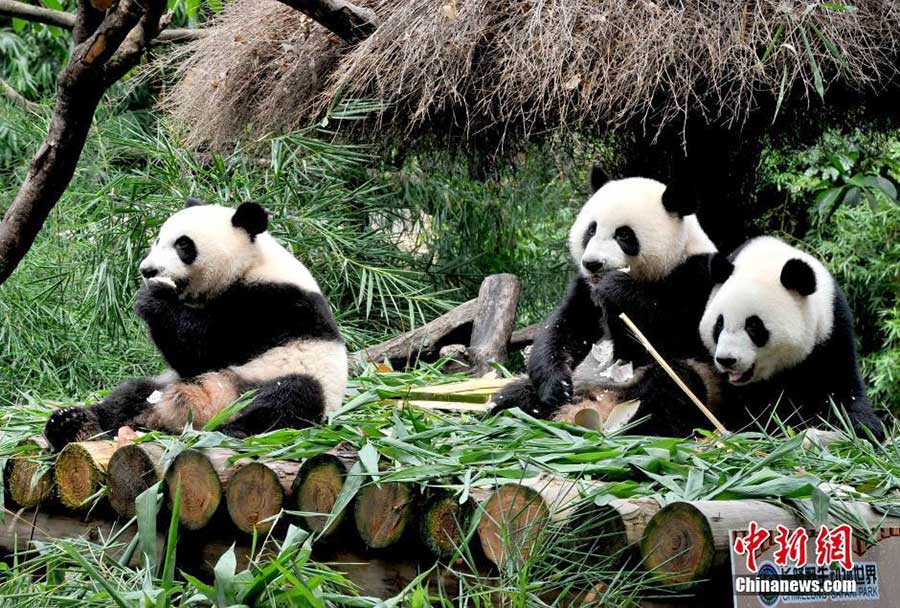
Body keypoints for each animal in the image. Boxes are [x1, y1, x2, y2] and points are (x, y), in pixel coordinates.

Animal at [44, 200, 350, 452]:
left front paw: (154, 297)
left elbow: (209, 348)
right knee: (129, 395)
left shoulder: (273, 304)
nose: (147, 270)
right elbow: (188, 360)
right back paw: (72, 423)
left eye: (183, 245)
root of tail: (205, 410)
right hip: (165, 384)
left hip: (288, 378)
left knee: (288, 398)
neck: (250, 264)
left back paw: (230, 430)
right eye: (158, 240)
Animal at [492, 165, 724, 432]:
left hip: (692, 386)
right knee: (513, 396)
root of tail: (599, 404)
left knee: (673, 388)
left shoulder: (699, 278)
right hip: (578, 382)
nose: (592, 263)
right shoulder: (584, 290)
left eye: (624, 235)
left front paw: (615, 289)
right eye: (591, 229)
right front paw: (556, 386)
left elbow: (670, 332)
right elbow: (564, 328)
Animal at [700, 235, 884, 440]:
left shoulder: (832, 327)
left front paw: (861, 428)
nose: (727, 360)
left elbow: (840, 385)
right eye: (719, 324)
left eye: (753, 326)